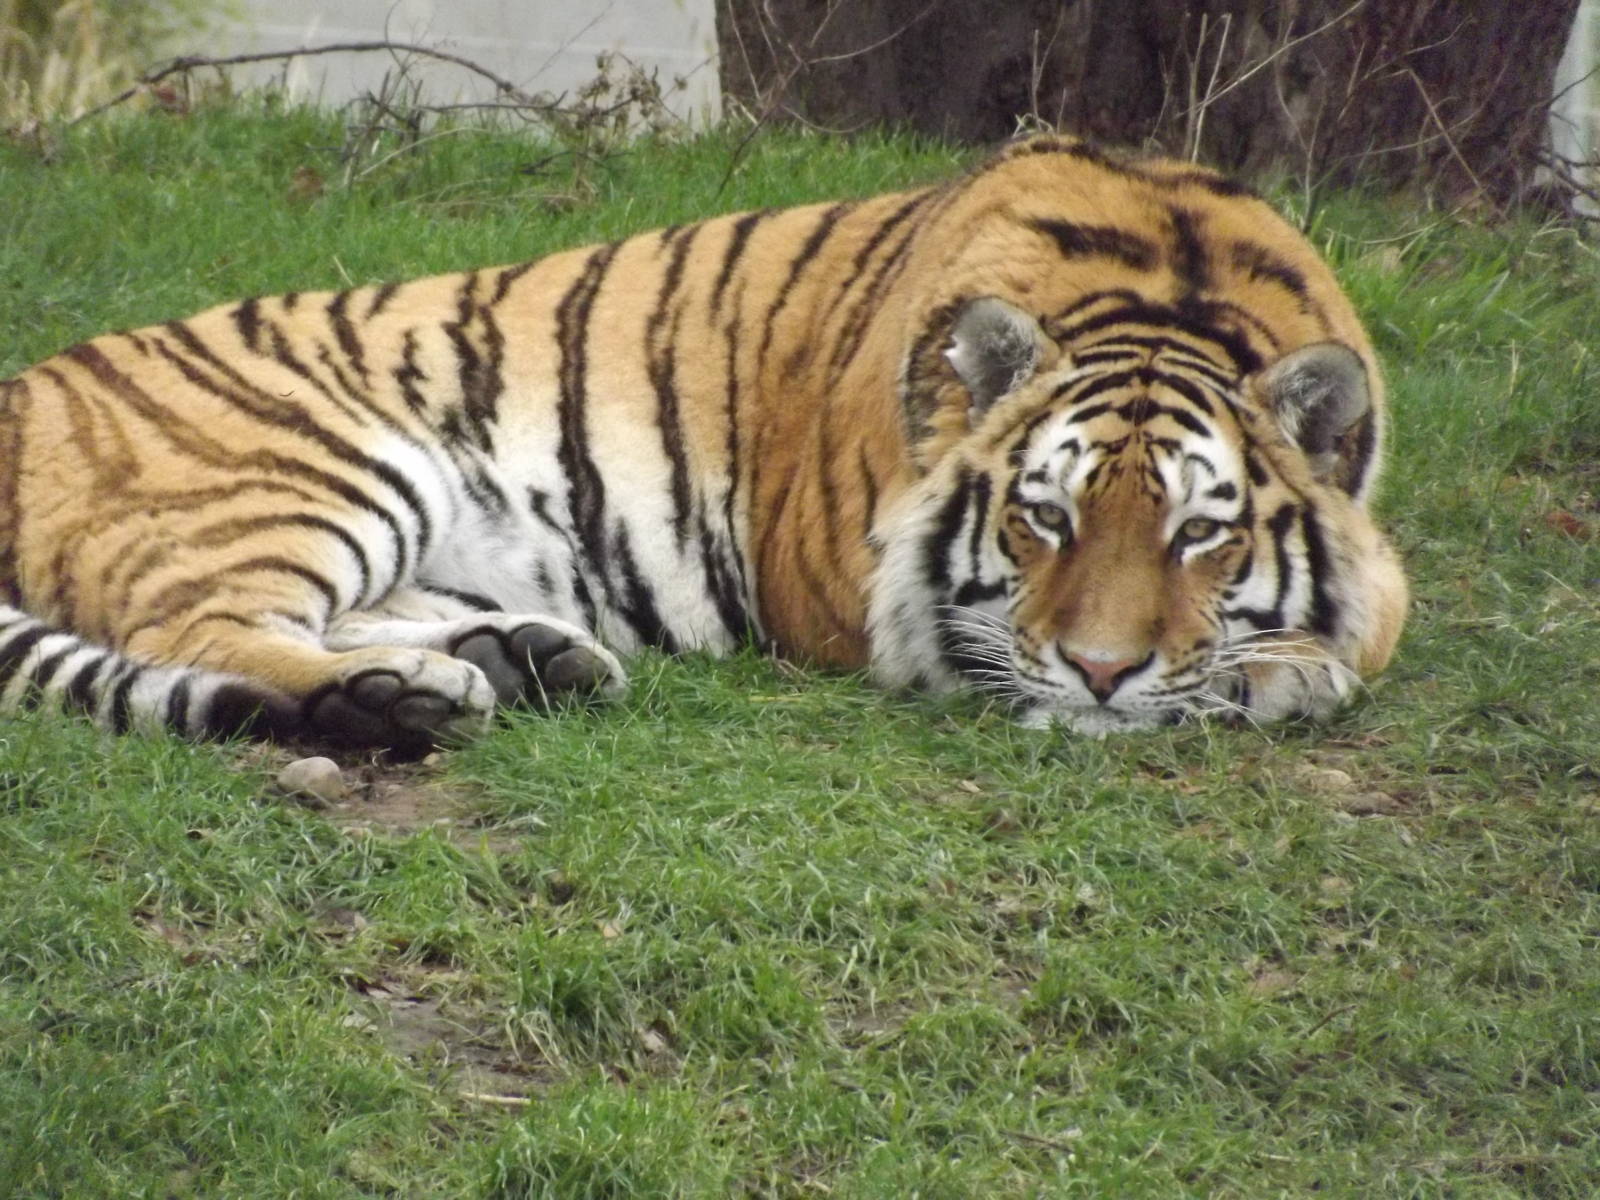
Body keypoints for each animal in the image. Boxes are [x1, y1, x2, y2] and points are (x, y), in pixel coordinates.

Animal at [0, 135, 1407, 748]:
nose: (1103, 676)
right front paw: (1264, 675)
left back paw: (511, 659)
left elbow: (1367, 617)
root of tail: (19, 380)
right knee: (205, 630)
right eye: (1042, 517)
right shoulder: (848, 591)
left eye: (1200, 532)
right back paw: (415, 693)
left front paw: (1277, 666)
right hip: (310, 468)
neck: (1166, 288)